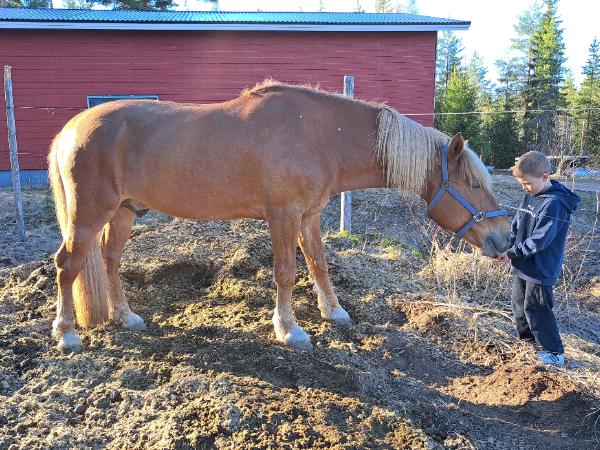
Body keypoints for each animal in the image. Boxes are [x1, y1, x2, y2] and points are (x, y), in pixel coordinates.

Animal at [48, 80, 510, 352]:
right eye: (473, 183)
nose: (504, 237)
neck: (320, 135)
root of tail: (70, 130)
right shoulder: (283, 216)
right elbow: (286, 272)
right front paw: (289, 330)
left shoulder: (309, 216)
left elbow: (319, 264)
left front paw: (334, 313)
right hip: (89, 214)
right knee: (67, 265)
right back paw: (66, 334)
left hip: (123, 213)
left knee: (110, 260)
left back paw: (126, 317)